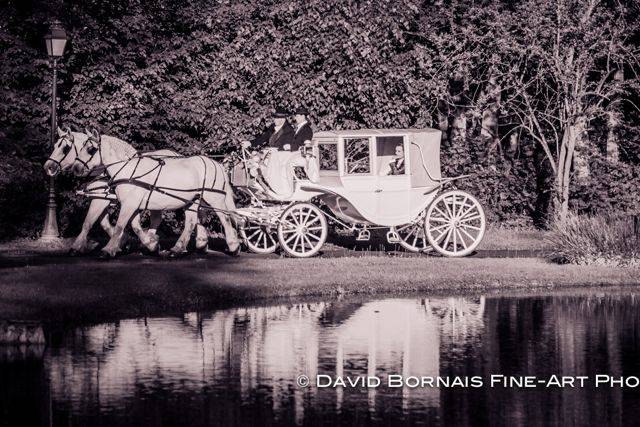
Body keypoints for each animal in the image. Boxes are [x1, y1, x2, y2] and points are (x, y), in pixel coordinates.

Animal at [42, 127, 208, 254]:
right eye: (55, 145)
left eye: (65, 148)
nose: (48, 167)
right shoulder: (103, 198)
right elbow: (104, 224)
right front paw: (124, 242)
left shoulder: (101, 200)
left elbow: (89, 222)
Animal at [70, 130, 240, 258]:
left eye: (90, 149)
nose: (76, 168)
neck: (129, 170)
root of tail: (216, 164)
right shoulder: (130, 204)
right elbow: (135, 227)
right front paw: (151, 245)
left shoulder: (129, 204)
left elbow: (119, 226)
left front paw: (108, 249)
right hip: (193, 200)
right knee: (191, 222)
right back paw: (177, 249)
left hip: (215, 198)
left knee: (225, 218)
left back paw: (233, 246)